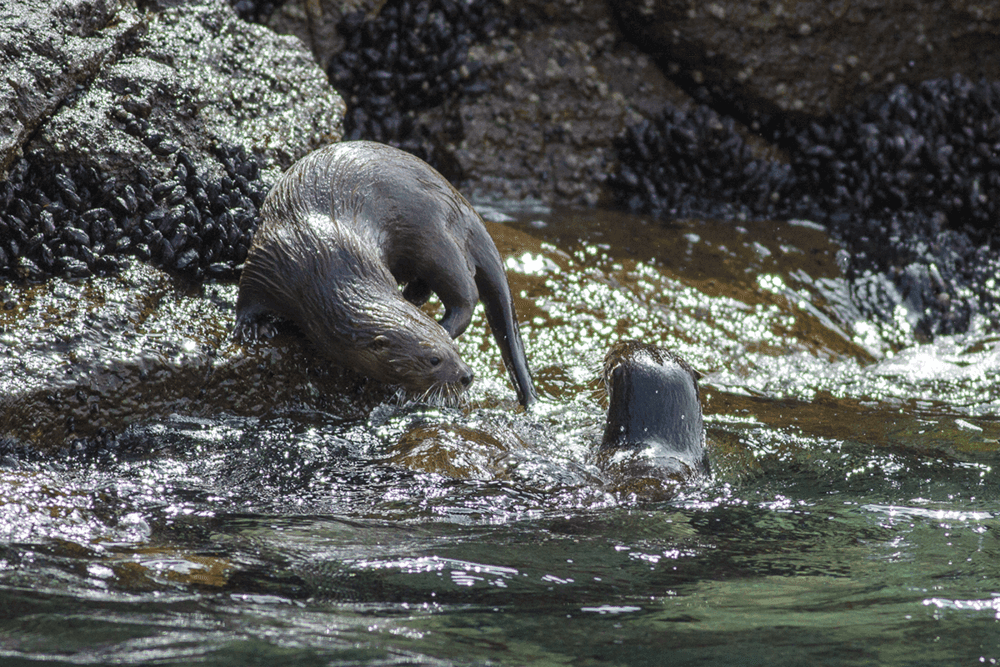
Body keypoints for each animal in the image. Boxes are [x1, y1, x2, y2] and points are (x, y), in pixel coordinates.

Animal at [235, 141, 538, 407]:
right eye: (434, 359)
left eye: (456, 351)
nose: (467, 376)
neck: (322, 258)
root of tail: (464, 205)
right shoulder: (272, 256)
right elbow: (249, 290)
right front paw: (251, 326)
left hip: (437, 239)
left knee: (465, 295)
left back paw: (445, 323)